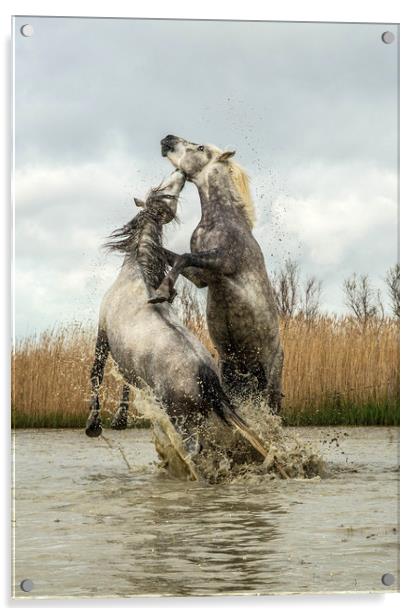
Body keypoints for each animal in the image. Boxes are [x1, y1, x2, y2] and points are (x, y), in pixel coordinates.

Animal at [149, 135, 282, 414]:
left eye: (200, 148)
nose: (167, 139)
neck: (219, 220)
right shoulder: (203, 278)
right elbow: (173, 256)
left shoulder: (222, 264)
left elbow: (183, 257)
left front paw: (163, 292)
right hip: (234, 375)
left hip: (270, 384)